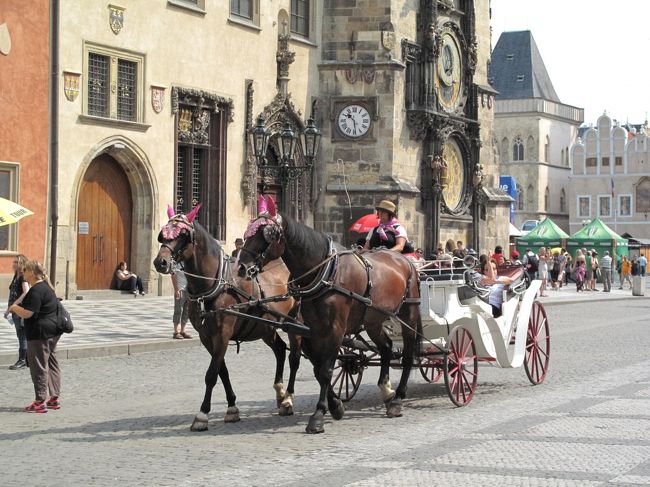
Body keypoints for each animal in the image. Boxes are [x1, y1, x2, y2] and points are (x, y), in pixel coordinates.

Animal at [153, 206, 300, 430]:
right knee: (281, 350)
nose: (160, 262)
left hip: (296, 324)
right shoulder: (207, 337)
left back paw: (288, 400)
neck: (215, 284)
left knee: (294, 357)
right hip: (265, 327)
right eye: (163, 234)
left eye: (183, 236)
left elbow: (211, 374)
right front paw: (232, 408)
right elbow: (222, 371)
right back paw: (280, 393)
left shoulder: (222, 333)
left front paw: (202, 415)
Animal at [237, 198, 420, 434]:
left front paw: (318, 415)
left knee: (408, 354)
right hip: (373, 319)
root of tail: (404, 260)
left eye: (265, 235)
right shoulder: (313, 329)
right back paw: (387, 391)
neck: (325, 272)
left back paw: (398, 399)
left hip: (409, 314)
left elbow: (325, 370)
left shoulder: (335, 329)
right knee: (386, 347)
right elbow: (317, 368)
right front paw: (336, 406)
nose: (241, 267)